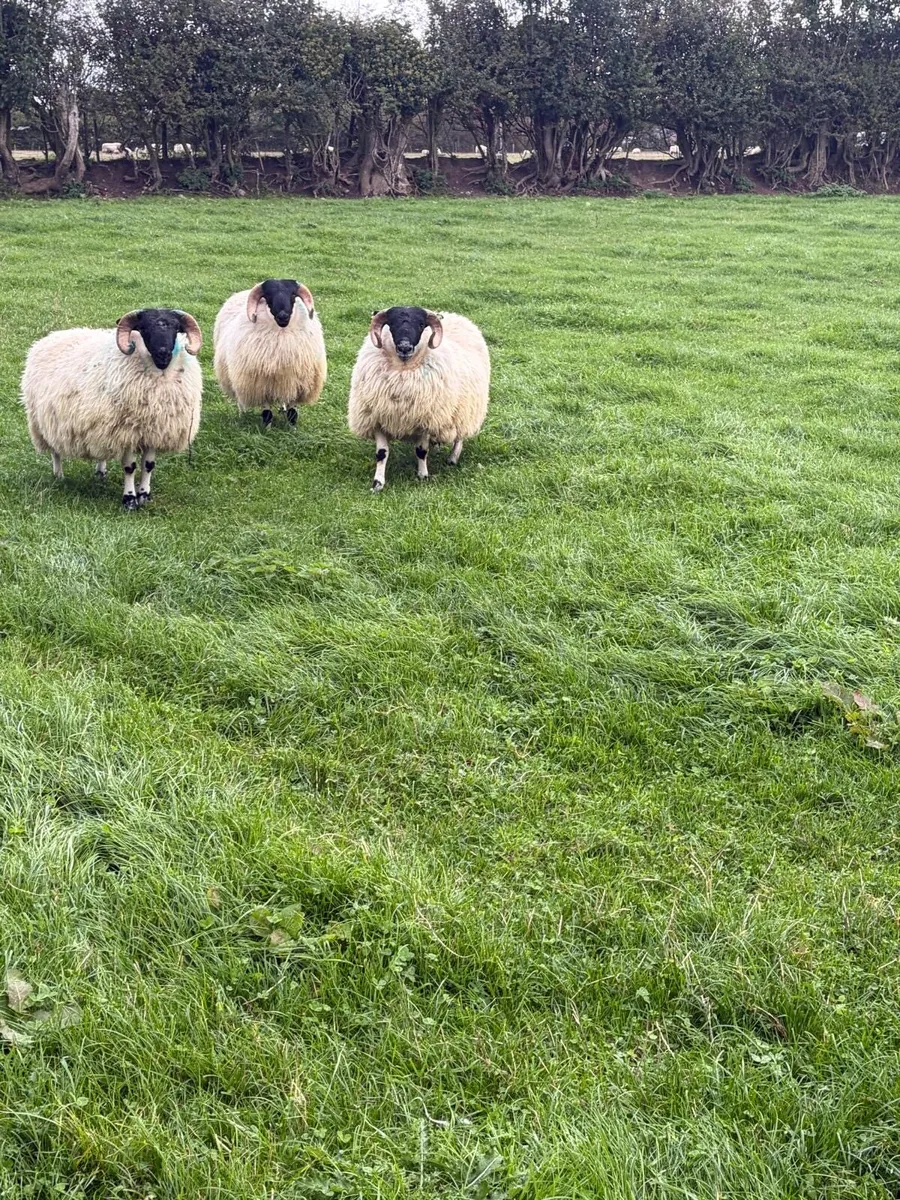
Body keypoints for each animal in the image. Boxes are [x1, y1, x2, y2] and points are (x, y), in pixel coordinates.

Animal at [21, 308, 203, 510]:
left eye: (176, 328)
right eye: (143, 328)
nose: (163, 353)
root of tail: (53, 336)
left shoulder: (153, 431)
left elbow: (148, 465)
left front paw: (144, 495)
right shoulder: (127, 431)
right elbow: (130, 467)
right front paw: (130, 500)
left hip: (100, 424)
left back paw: (100, 472)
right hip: (46, 420)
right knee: (55, 450)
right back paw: (58, 475)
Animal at [213, 279, 327, 428]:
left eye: (292, 295)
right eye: (268, 297)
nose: (283, 316)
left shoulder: (297, 383)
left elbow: (292, 412)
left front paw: (292, 428)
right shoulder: (261, 385)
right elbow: (267, 413)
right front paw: (267, 428)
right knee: (239, 398)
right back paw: (242, 413)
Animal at [348, 306, 489, 491]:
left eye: (421, 324)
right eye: (391, 323)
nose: (404, 347)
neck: (403, 370)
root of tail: (454, 316)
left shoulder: (425, 420)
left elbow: (421, 451)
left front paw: (423, 476)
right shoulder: (377, 418)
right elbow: (381, 454)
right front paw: (378, 483)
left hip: (465, 409)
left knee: (460, 436)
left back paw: (453, 458)